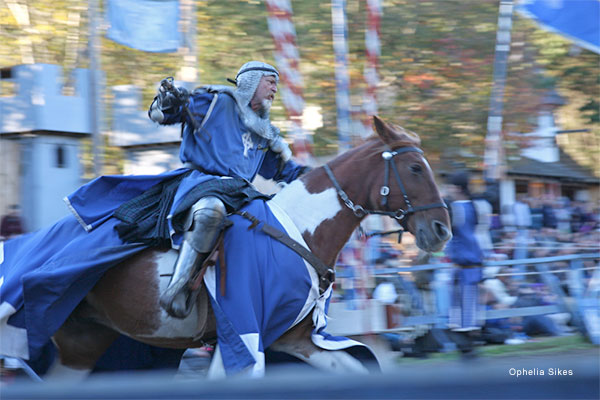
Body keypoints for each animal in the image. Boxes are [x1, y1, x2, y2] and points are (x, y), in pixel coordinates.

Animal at [49, 115, 450, 378]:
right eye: (415, 168)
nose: (441, 230)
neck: (299, 229)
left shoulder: (295, 339)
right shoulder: (243, 334)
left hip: (82, 344)